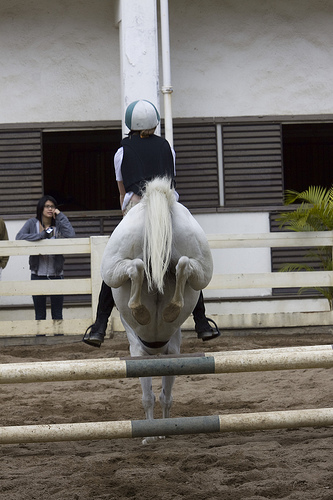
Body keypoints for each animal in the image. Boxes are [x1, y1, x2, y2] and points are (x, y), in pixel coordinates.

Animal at [100, 178, 213, 444]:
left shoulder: (149, 354)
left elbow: (157, 396)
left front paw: (156, 434)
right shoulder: (163, 353)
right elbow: (156, 396)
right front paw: (157, 432)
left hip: (113, 266)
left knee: (137, 267)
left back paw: (145, 310)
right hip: (200, 266)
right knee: (183, 264)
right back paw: (170, 308)